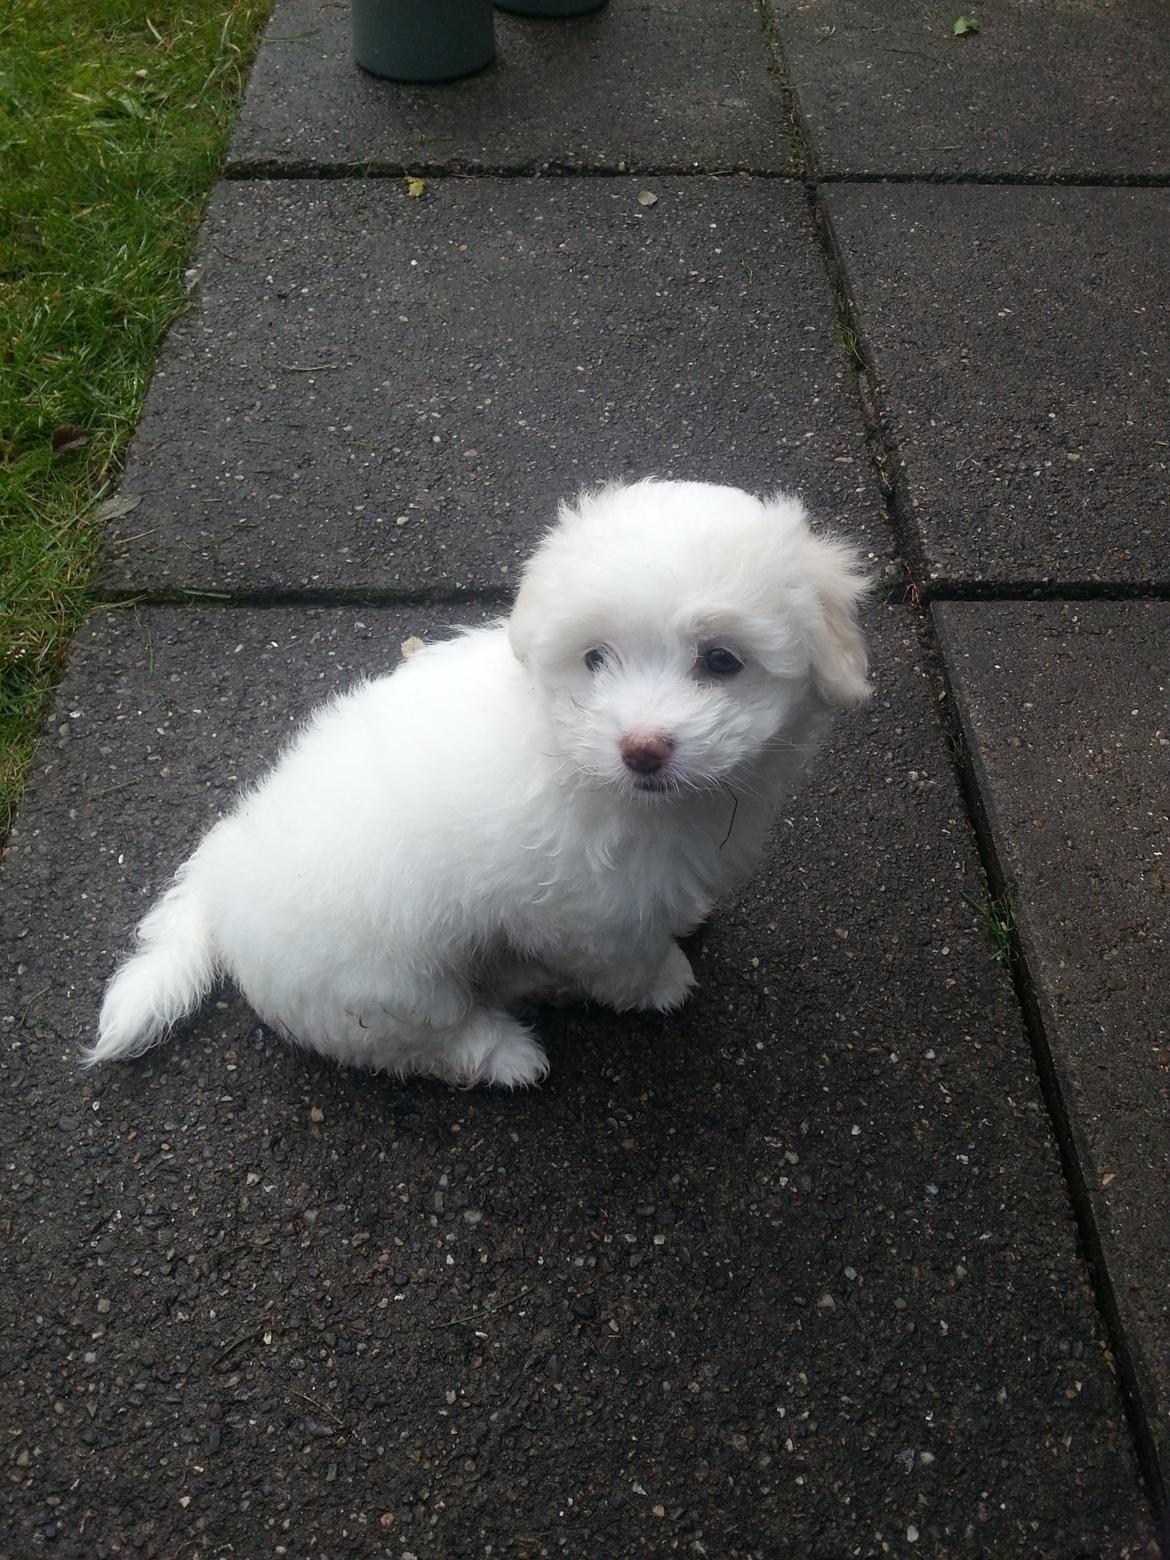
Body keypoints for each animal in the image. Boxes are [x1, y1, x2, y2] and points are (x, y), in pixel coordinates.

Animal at [91, 477, 873, 1085]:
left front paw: (682, 917)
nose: (642, 749)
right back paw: (507, 1053)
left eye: (720, 660)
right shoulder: (586, 912)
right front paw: (662, 981)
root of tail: (223, 874)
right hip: (378, 983)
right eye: (595, 658)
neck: (569, 752)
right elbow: (624, 958)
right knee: (427, 1039)